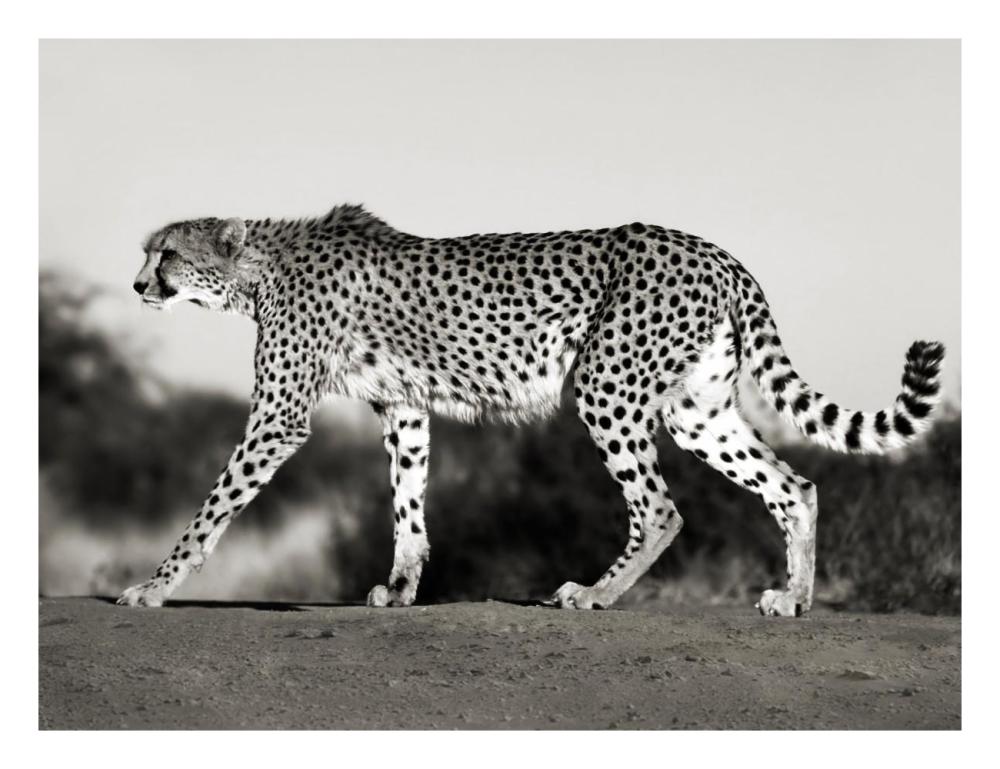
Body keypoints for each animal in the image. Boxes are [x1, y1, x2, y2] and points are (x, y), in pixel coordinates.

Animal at [118, 205, 945, 615]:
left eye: (167, 254)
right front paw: (401, 588)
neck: (259, 268)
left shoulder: (280, 414)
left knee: (661, 507)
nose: (137, 286)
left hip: (606, 384)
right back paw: (793, 598)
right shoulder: (404, 407)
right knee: (794, 484)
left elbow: (212, 508)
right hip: (696, 410)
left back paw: (595, 592)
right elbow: (408, 504)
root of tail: (713, 249)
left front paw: (154, 586)